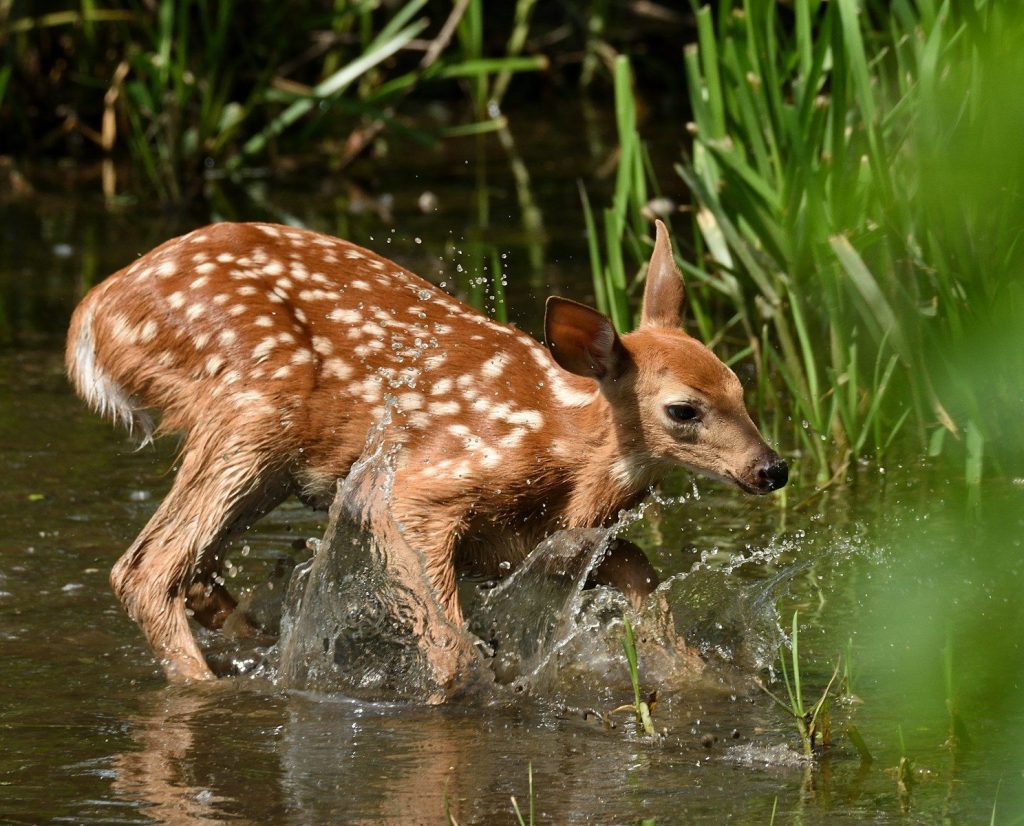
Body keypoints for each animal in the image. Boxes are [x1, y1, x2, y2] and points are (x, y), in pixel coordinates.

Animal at [65, 219, 788, 683]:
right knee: (147, 568)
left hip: (266, 460)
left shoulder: (530, 543)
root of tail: (92, 314)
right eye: (683, 410)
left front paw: (700, 676)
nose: (772, 468)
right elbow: (447, 640)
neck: (566, 448)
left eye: (740, 386)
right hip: (252, 409)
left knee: (193, 569)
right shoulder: (427, 487)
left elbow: (640, 573)